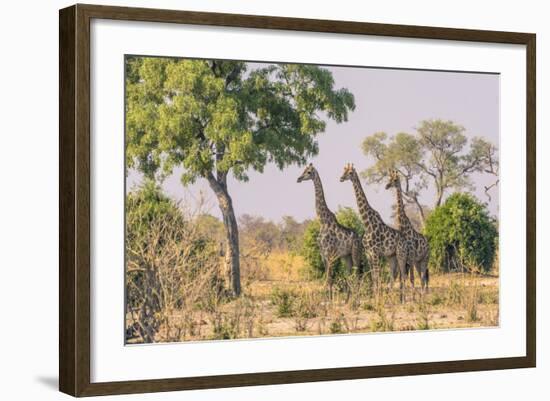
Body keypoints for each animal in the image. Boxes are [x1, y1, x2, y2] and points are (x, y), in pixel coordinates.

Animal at [300, 162, 364, 296]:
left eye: (308, 172)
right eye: (303, 170)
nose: (298, 178)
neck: (322, 221)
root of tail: (359, 238)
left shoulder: (329, 253)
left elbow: (329, 279)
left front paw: (328, 297)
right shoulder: (323, 254)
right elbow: (328, 277)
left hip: (355, 253)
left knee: (357, 275)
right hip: (346, 256)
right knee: (350, 275)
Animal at [340, 162, 414, 300]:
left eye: (350, 173)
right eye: (344, 171)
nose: (341, 178)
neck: (367, 223)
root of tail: (405, 241)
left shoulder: (374, 253)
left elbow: (376, 276)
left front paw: (377, 297)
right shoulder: (369, 254)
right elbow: (373, 276)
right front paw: (375, 296)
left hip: (401, 254)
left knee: (403, 274)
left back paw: (404, 299)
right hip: (392, 257)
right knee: (395, 274)